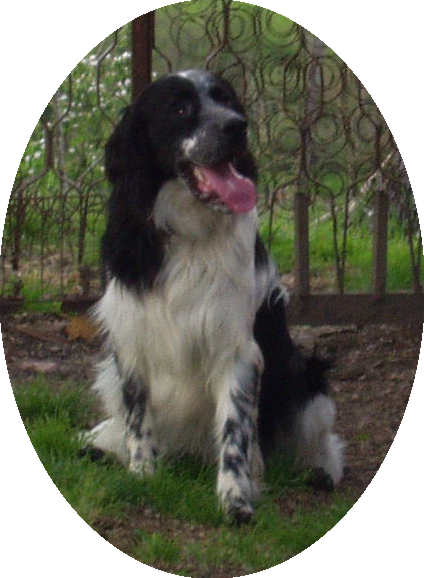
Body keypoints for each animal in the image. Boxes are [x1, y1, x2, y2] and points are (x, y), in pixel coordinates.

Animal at [88, 69, 344, 523]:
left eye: (228, 101)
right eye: (179, 108)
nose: (237, 126)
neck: (189, 233)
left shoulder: (236, 348)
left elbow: (234, 430)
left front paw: (236, 497)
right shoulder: (131, 339)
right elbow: (138, 416)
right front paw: (142, 472)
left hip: (304, 375)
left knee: (324, 440)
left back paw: (317, 469)